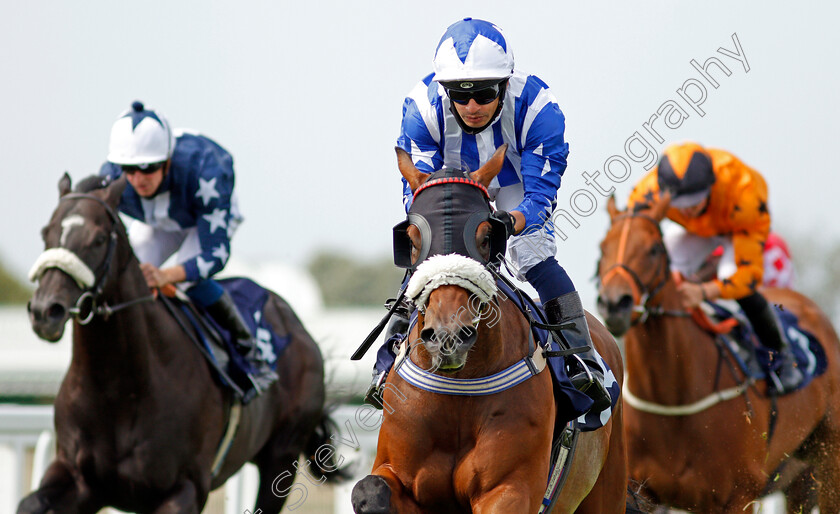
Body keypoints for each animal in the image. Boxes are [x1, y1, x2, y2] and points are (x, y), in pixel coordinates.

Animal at [19, 174, 342, 510]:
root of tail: (299, 329)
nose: (46, 310)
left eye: (98, 239)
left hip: (281, 458)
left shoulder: (185, 487)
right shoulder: (81, 479)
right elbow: (29, 503)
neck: (121, 389)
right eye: (46, 233)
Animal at [352, 146, 628, 510]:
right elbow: (369, 489)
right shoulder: (398, 472)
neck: (460, 386)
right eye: (412, 240)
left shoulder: (510, 488)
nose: (448, 337)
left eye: (485, 237)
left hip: (607, 489)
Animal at [592, 194, 840, 510]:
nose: (615, 303)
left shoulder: (740, 495)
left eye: (654, 249)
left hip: (824, 466)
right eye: (603, 248)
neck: (675, 399)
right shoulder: (644, 493)